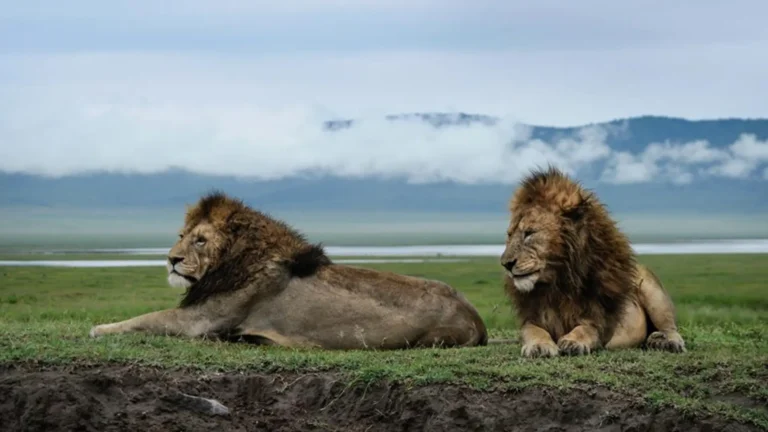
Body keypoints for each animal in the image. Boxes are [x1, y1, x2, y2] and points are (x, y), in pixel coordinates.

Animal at [89, 192, 488, 350]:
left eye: (200, 241)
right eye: (181, 236)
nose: (171, 259)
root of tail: (477, 318)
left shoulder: (200, 322)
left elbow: (146, 318)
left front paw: (99, 328)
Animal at [500, 167, 686, 358]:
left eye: (529, 233)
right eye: (509, 235)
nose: (506, 264)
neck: (558, 283)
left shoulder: (600, 320)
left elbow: (586, 329)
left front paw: (573, 342)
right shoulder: (532, 317)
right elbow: (533, 330)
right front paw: (539, 345)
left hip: (653, 291)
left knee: (670, 328)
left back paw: (667, 342)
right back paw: (655, 339)